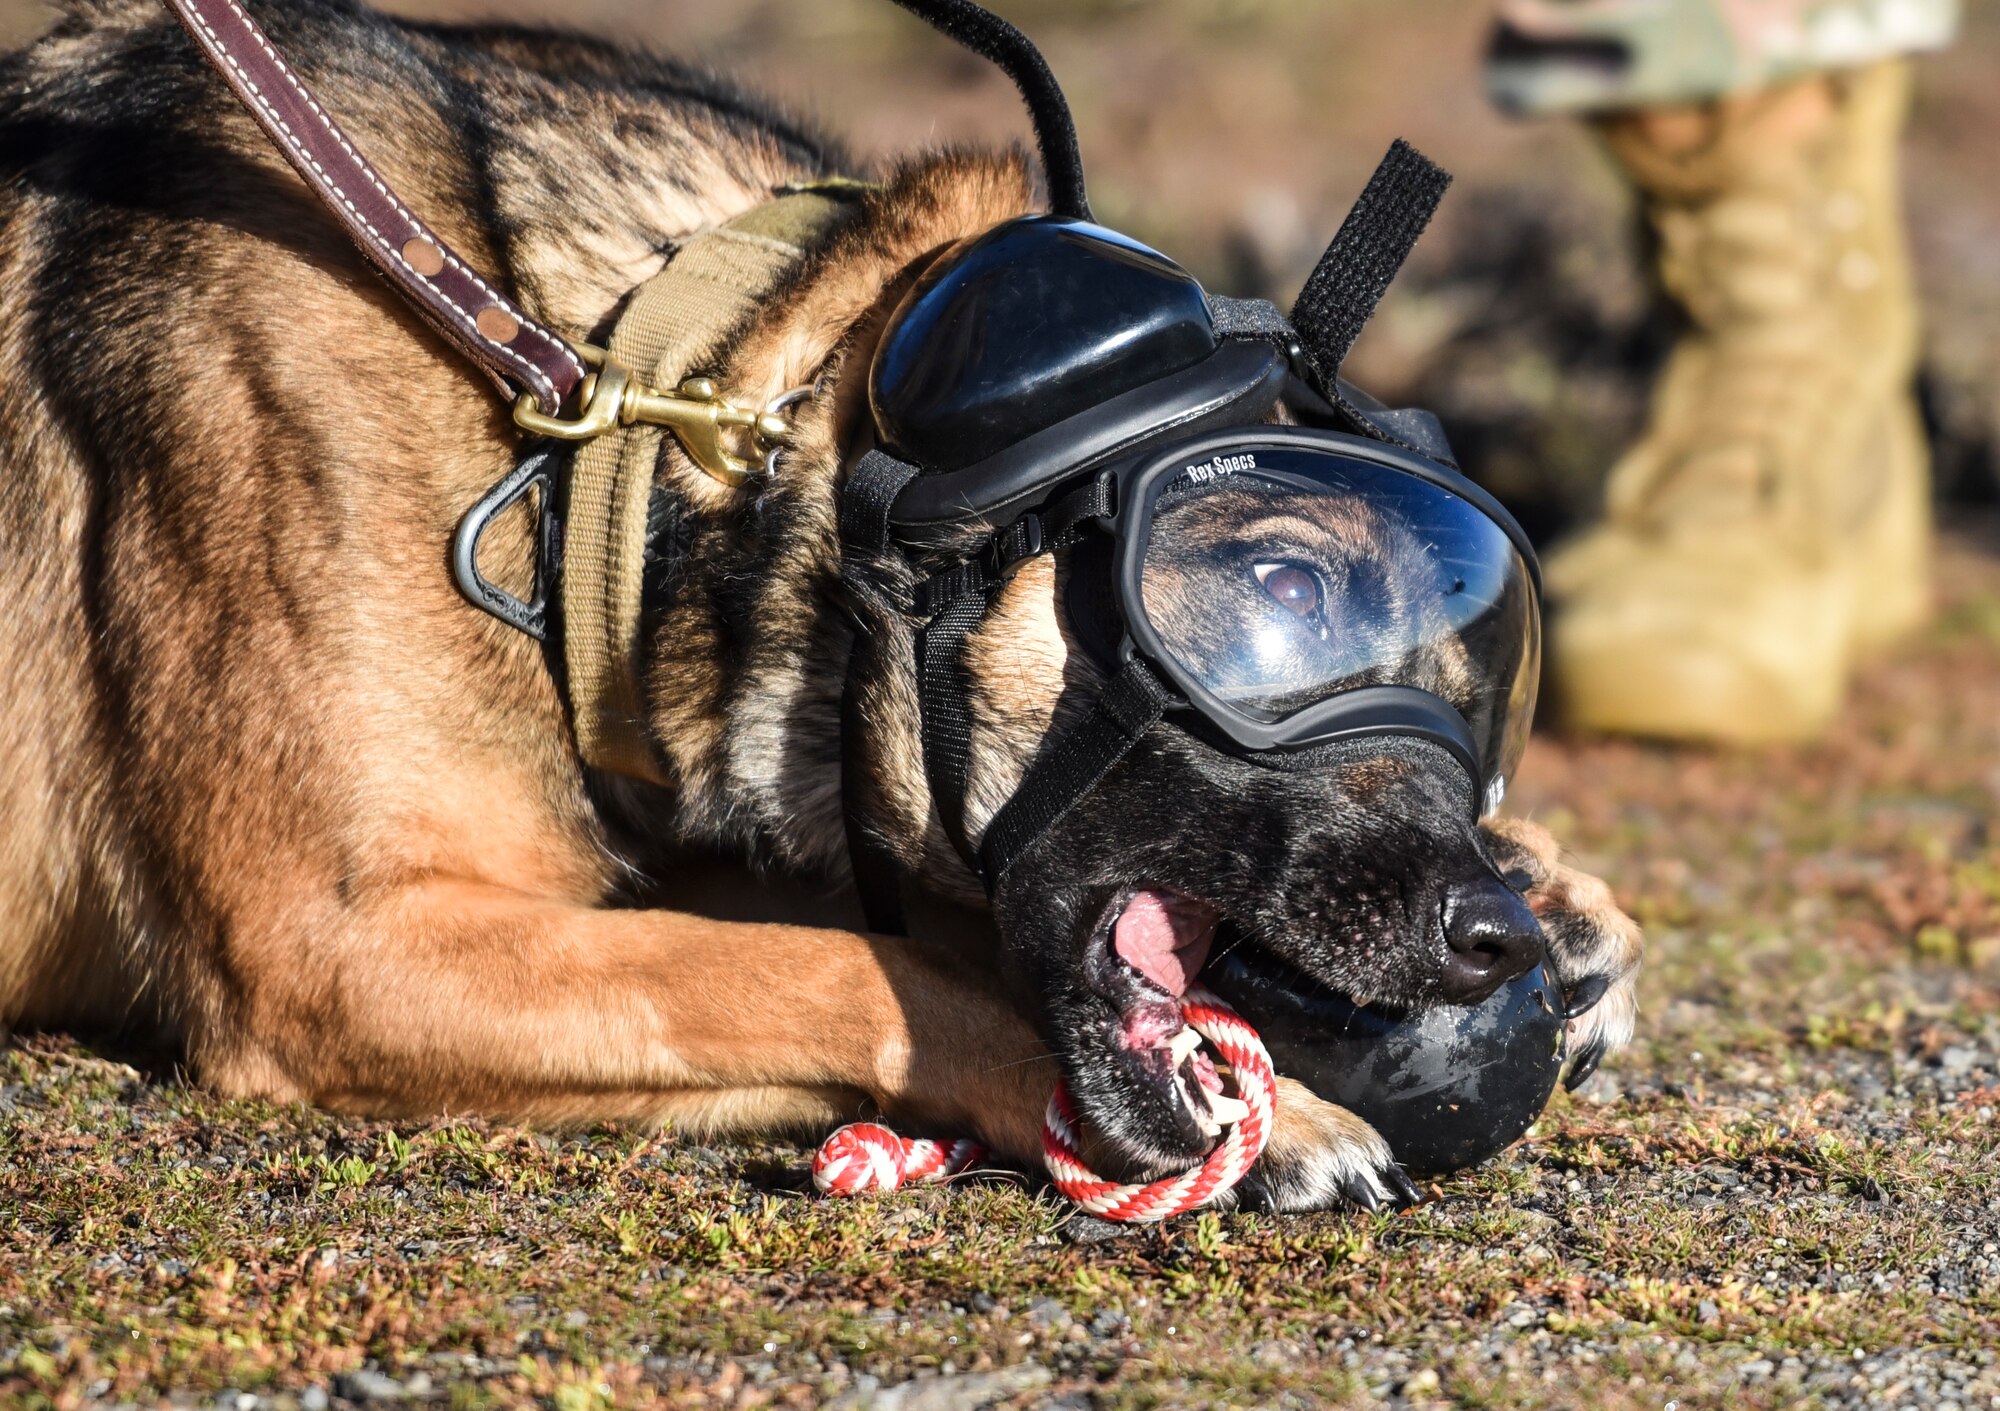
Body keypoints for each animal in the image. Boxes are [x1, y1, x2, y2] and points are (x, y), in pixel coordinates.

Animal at [0, 0, 1640, 1207]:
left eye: (1479, 698)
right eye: (1282, 587)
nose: (1496, 936)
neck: (610, 421)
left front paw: (1560, 889)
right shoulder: (338, 951)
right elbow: (849, 959)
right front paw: (1285, 1105)